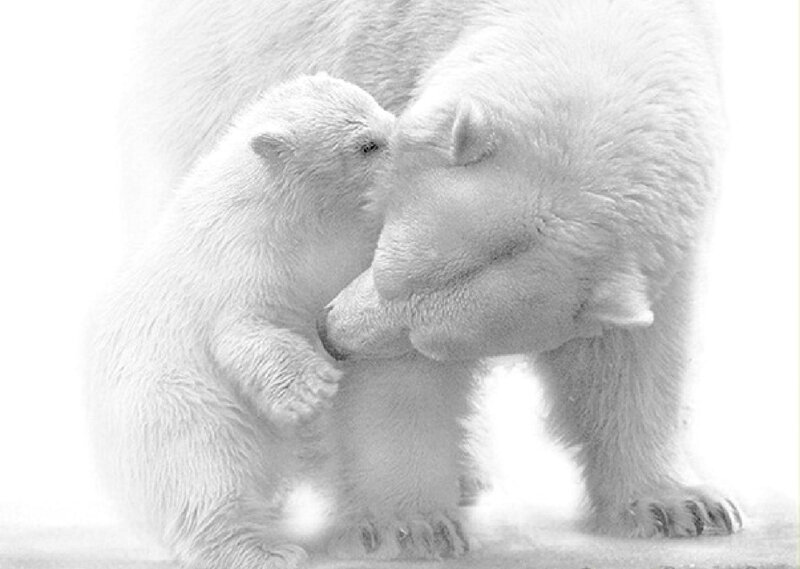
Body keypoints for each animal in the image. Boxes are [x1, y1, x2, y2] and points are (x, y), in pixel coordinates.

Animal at [119, 0, 739, 556]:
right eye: (383, 263)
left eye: (430, 338)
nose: (330, 336)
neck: (590, 22)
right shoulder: (382, 77)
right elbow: (395, 386)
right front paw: (411, 526)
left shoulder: (659, 246)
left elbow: (629, 355)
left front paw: (682, 506)